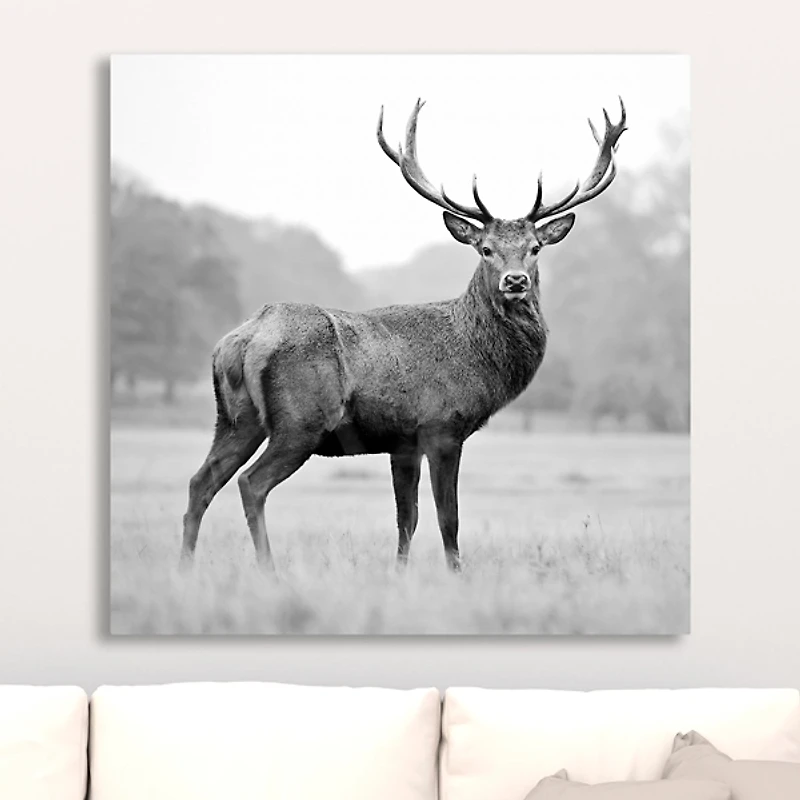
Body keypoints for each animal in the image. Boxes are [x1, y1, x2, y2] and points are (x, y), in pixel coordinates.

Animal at [179, 98, 627, 572]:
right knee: (251, 483)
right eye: (485, 248)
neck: (476, 358)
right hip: (300, 421)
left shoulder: (402, 442)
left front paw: (399, 574)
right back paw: (269, 570)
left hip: (234, 418)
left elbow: (406, 519)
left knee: (200, 481)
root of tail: (242, 340)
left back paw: (185, 567)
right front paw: (456, 575)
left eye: (535, 248)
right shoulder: (442, 426)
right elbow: (448, 518)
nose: (516, 281)